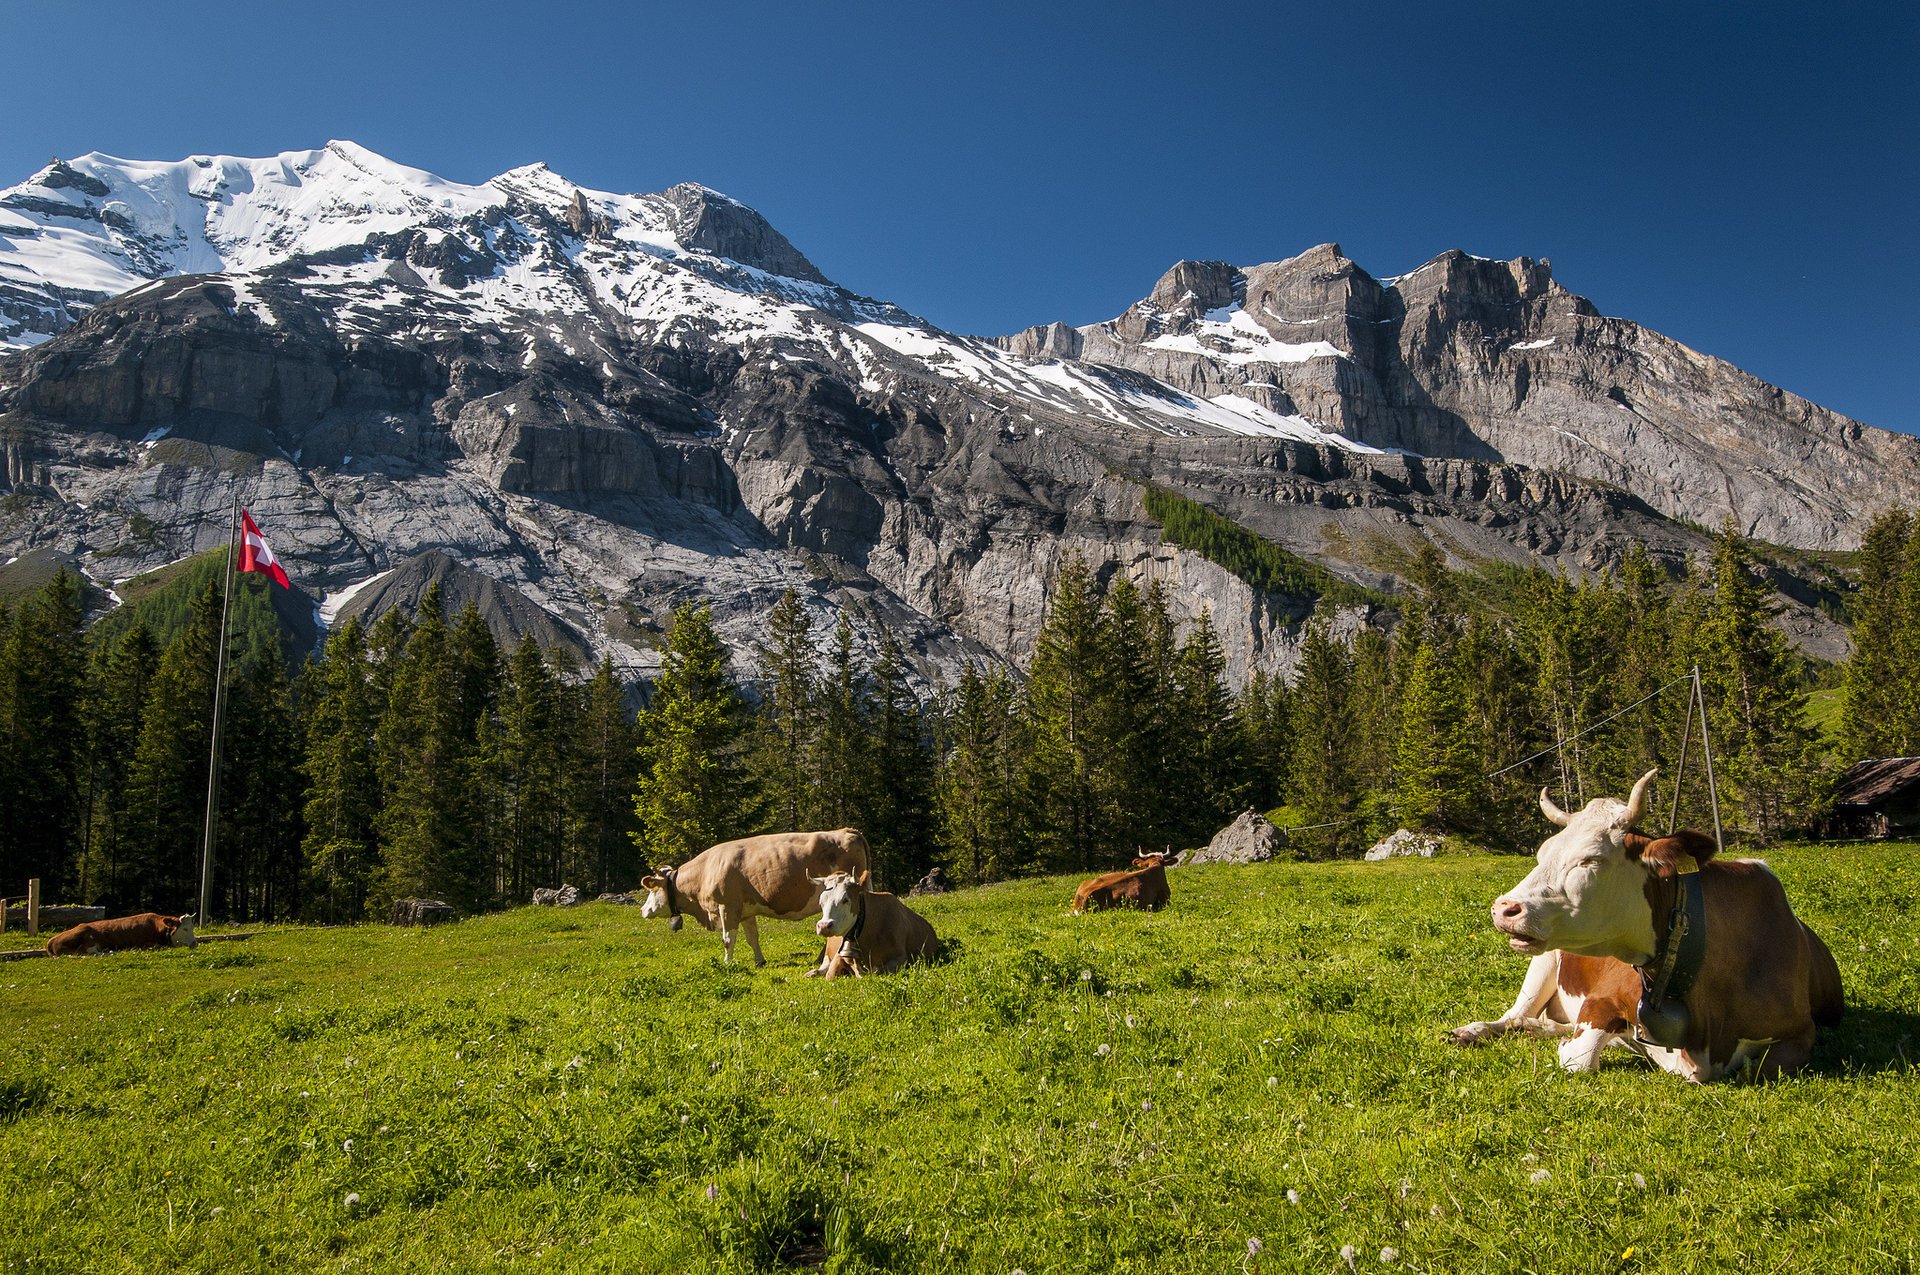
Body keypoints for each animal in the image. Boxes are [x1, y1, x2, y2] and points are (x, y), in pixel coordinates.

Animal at [46, 912, 197, 957]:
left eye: (192, 927)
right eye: (185, 929)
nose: (195, 943)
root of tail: (51, 940)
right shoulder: (147, 944)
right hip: (87, 937)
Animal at [639, 828, 870, 967]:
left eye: (652, 890)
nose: (643, 910)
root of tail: (846, 831)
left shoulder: (727, 907)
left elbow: (728, 939)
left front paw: (727, 963)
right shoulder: (746, 912)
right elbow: (752, 938)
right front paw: (759, 961)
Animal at [805, 870, 940, 978]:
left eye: (845, 899)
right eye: (821, 901)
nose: (824, 926)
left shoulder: (900, 958)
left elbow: (877, 970)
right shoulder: (839, 956)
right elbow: (830, 974)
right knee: (823, 967)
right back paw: (811, 972)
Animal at [1450, 769, 1844, 1082]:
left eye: (1591, 860)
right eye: (1542, 853)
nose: (1503, 908)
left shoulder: (1801, 1032)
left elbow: (1761, 1068)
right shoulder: (1603, 998)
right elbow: (1580, 1057)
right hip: (1543, 962)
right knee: (1512, 1017)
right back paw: (1473, 1030)